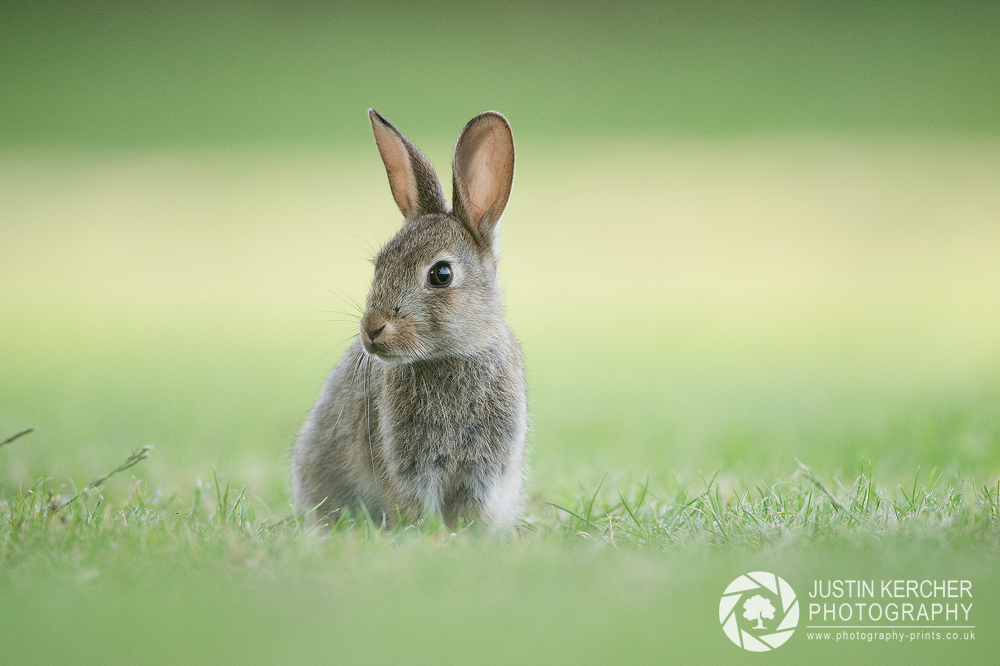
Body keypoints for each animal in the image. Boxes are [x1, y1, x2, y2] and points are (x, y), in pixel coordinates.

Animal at [290, 109, 527, 533]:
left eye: (441, 274)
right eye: (379, 264)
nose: (371, 330)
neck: (450, 357)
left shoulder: (483, 471)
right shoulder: (408, 468)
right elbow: (417, 510)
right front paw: (430, 538)